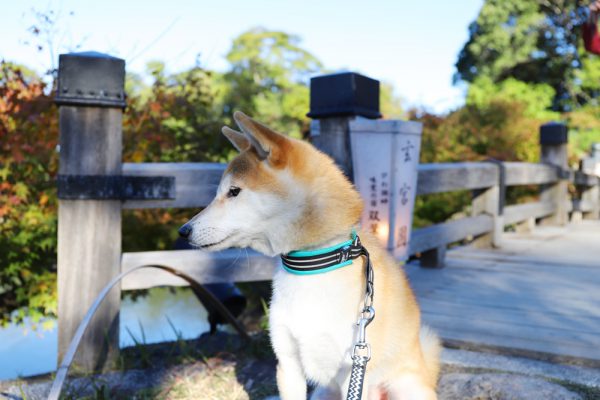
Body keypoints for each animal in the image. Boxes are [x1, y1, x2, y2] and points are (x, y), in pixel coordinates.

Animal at [179, 111, 440, 398]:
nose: (183, 231)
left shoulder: (353, 368)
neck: (313, 264)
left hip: (404, 387)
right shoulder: (287, 363)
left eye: (234, 191)